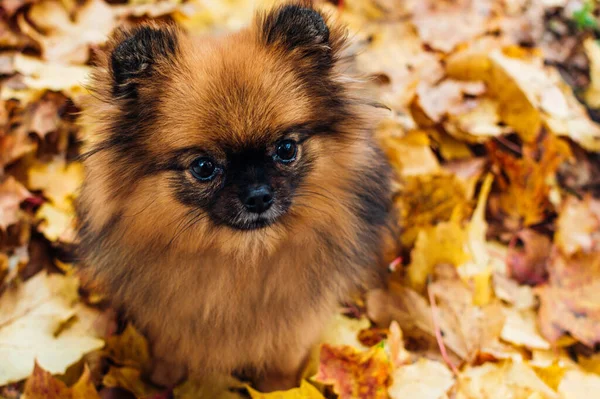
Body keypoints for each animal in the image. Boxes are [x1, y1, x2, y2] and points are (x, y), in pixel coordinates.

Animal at [78, 0, 398, 392]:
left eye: (286, 149)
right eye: (203, 166)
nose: (258, 196)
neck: (243, 258)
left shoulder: (293, 333)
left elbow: (280, 375)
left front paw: (279, 392)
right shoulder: (167, 328)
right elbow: (168, 361)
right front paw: (160, 384)